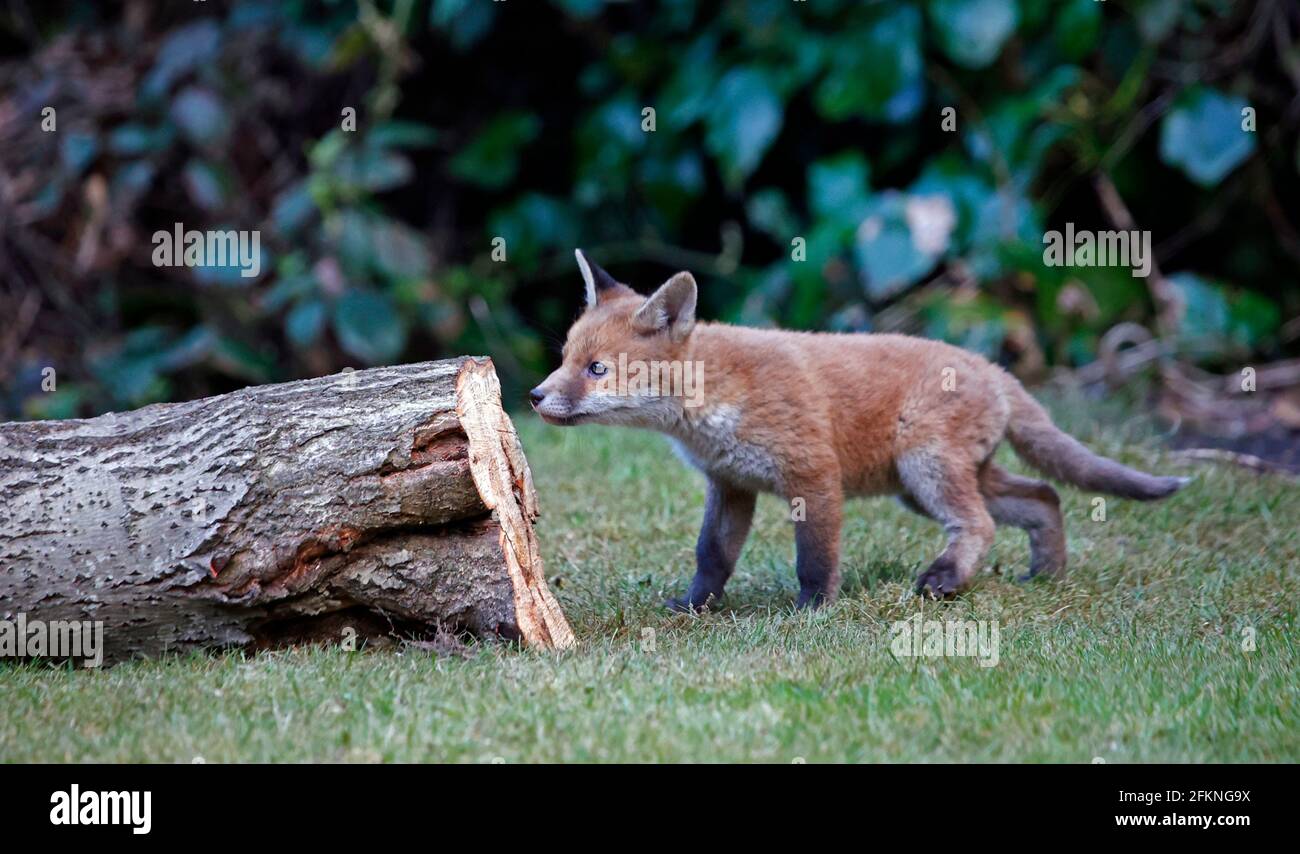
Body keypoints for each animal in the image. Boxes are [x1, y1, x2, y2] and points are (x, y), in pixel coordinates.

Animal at [530, 249, 1190, 611]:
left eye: (596, 369)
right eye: (564, 358)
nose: (535, 397)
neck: (714, 399)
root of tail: (994, 368)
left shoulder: (813, 476)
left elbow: (816, 559)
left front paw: (812, 612)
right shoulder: (730, 485)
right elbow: (711, 557)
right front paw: (694, 608)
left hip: (926, 470)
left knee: (979, 522)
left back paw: (946, 580)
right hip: (924, 485)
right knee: (1045, 495)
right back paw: (1047, 574)